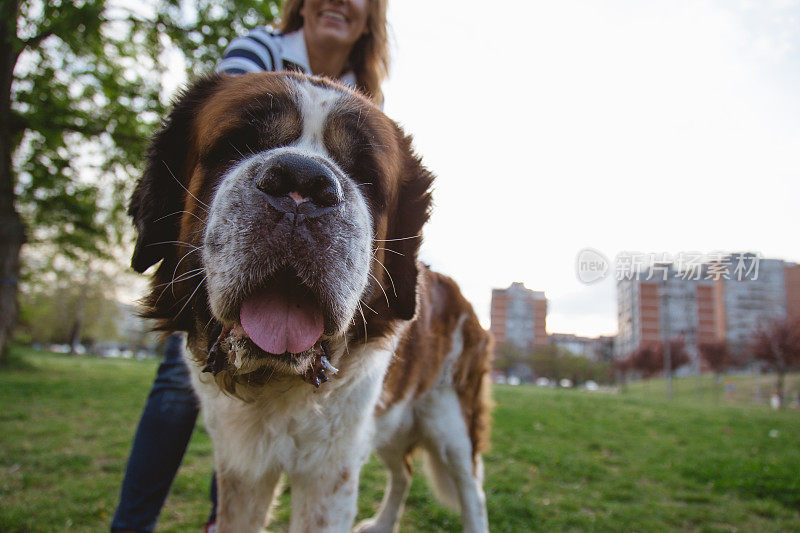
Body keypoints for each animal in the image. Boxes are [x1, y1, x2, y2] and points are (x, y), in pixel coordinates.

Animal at [130, 71, 490, 532]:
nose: (302, 182)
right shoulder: (239, 467)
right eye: (238, 145)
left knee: (471, 491)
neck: (273, 387)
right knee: (404, 471)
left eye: (364, 175)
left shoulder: (330, 473)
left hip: (450, 422)